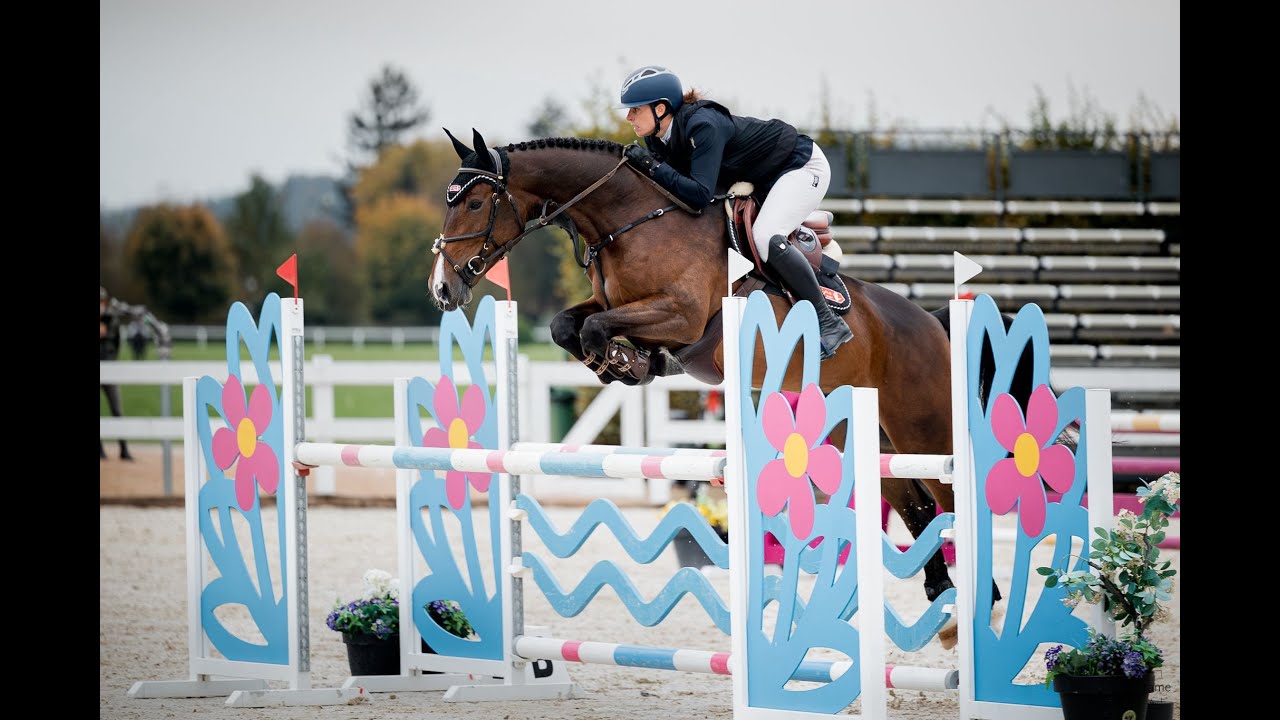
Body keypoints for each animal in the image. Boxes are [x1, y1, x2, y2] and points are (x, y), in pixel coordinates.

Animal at [430, 129, 1000, 644]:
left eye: (476, 202)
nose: (442, 289)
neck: (628, 222)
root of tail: (929, 320)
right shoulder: (613, 305)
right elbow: (567, 325)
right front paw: (623, 363)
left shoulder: (680, 316)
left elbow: (594, 328)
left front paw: (623, 359)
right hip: (856, 430)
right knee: (916, 505)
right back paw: (945, 608)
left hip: (922, 426)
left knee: (948, 496)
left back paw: (983, 605)